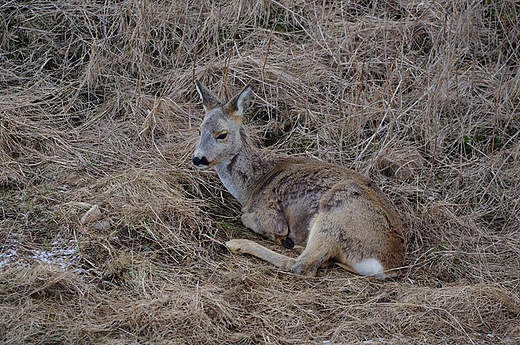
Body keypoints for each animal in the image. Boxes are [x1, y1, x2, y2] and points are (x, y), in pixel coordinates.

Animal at [191, 80, 406, 276]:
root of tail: (387, 266)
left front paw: (276, 236)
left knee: (301, 266)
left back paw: (239, 243)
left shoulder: (270, 216)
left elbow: (247, 218)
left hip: (336, 214)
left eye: (222, 134)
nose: (197, 158)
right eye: (199, 130)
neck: (253, 186)